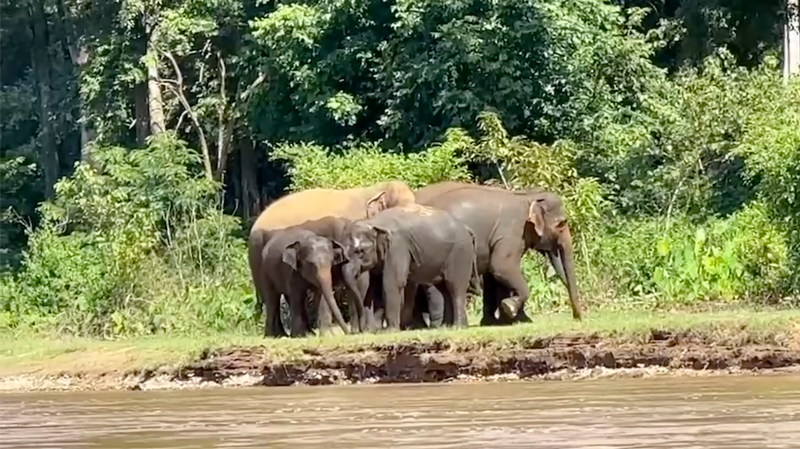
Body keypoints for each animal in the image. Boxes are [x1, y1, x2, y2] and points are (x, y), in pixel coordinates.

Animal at [247, 179, 416, 336]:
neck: (376, 189)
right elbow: (360, 282)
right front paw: (358, 330)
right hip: (257, 255)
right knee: (270, 295)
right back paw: (280, 334)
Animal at [412, 180, 580, 324]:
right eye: (562, 224)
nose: (578, 317)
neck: (527, 196)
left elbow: (494, 274)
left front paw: (503, 321)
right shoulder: (511, 233)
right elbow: (501, 266)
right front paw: (511, 311)